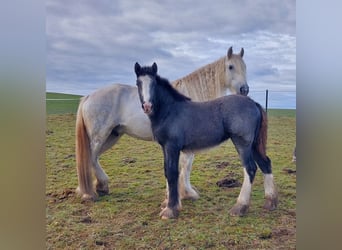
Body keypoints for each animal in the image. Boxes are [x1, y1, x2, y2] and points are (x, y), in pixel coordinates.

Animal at [75, 46, 248, 201]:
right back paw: (90, 192)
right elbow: (186, 165)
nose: (244, 90)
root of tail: (88, 96)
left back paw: (98, 187)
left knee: (93, 158)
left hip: (112, 135)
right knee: (90, 157)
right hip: (99, 137)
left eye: (245, 67)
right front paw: (186, 193)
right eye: (231, 67)